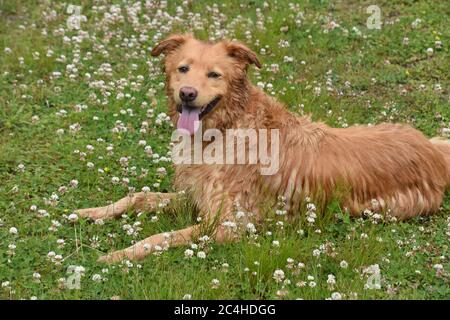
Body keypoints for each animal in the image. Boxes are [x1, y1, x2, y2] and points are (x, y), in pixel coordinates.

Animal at [75, 34, 448, 262]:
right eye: (183, 68)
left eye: (215, 74)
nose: (187, 94)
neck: (227, 127)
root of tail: (432, 150)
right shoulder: (196, 197)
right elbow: (137, 198)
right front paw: (90, 213)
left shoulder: (228, 225)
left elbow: (158, 237)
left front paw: (119, 255)